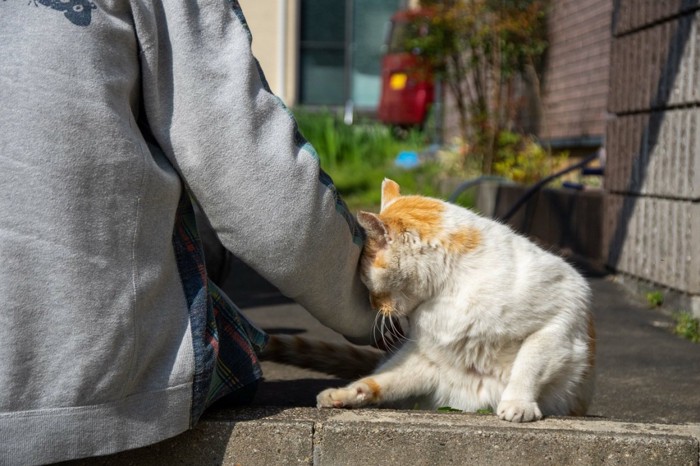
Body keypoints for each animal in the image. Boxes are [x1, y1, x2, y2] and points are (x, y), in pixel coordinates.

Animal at [262, 179, 596, 422]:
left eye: (366, 282)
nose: (372, 305)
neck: (447, 292)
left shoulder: (555, 323)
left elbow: (528, 365)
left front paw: (517, 403)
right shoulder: (428, 359)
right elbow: (382, 381)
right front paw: (349, 393)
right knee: (381, 377)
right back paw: (345, 394)